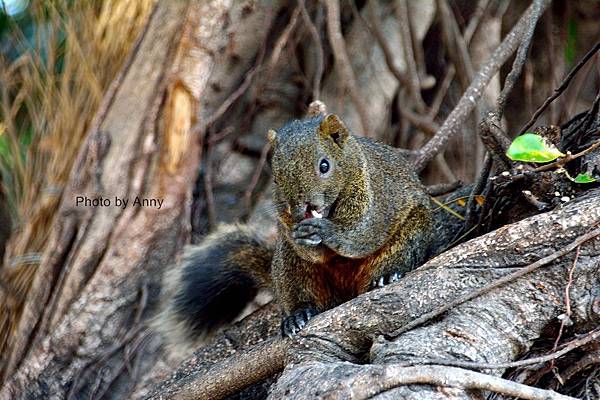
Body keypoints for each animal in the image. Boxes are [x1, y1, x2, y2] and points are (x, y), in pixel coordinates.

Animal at [154, 105, 436, 354]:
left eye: (324, 165)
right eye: (277, 177)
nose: (303, 206)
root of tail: (346, 293)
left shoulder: (376, 200)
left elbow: (361, 235)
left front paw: (327, 232)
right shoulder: (285, 223)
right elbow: (308, 248)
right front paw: (303, 237)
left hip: (409, 235)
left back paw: (387, 274)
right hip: (290, 269)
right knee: (303, 294)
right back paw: (298, 315)